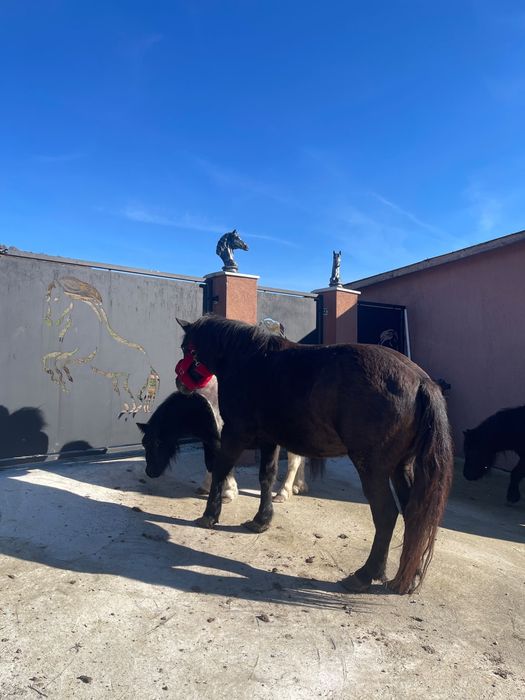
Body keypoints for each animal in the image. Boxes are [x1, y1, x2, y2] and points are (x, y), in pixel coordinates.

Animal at [137, 376, 309, 503]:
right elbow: (209, 462)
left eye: (157, 443)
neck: (203, 407)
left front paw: (229, 493)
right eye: (144, 444)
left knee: (294, 461)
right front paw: (206, 487)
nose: (150, 472)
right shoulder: (208, 439)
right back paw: (299, 486)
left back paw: (283, 493)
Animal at [174, 314, 453, 595]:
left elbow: (221, 469)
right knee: (414, 514)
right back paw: (407, 577)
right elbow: (266, 477)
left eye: (187, 348)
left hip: (372, 469)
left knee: (386, 514)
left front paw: (210, 515)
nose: (179, 383)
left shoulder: (235, 433)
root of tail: (421, 381)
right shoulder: (268, 439)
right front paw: (261, 520)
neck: (249, 359)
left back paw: (365, 574)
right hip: (400, 467)